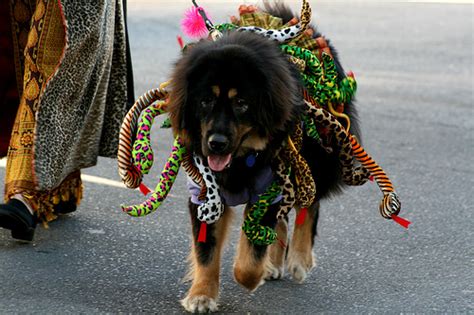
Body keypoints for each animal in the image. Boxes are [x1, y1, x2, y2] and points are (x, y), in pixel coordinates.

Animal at [167, 2, 360, 314]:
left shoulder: (270, 185)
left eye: (241, 103)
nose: (216, 144)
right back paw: (275, 262)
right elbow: (206, 252)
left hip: (315, 159)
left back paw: (299, 258)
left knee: (310, 206)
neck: (241, 159)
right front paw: (201, 295)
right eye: (205, 101)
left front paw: (251, 276)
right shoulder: (206, 193)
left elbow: (248, 259)